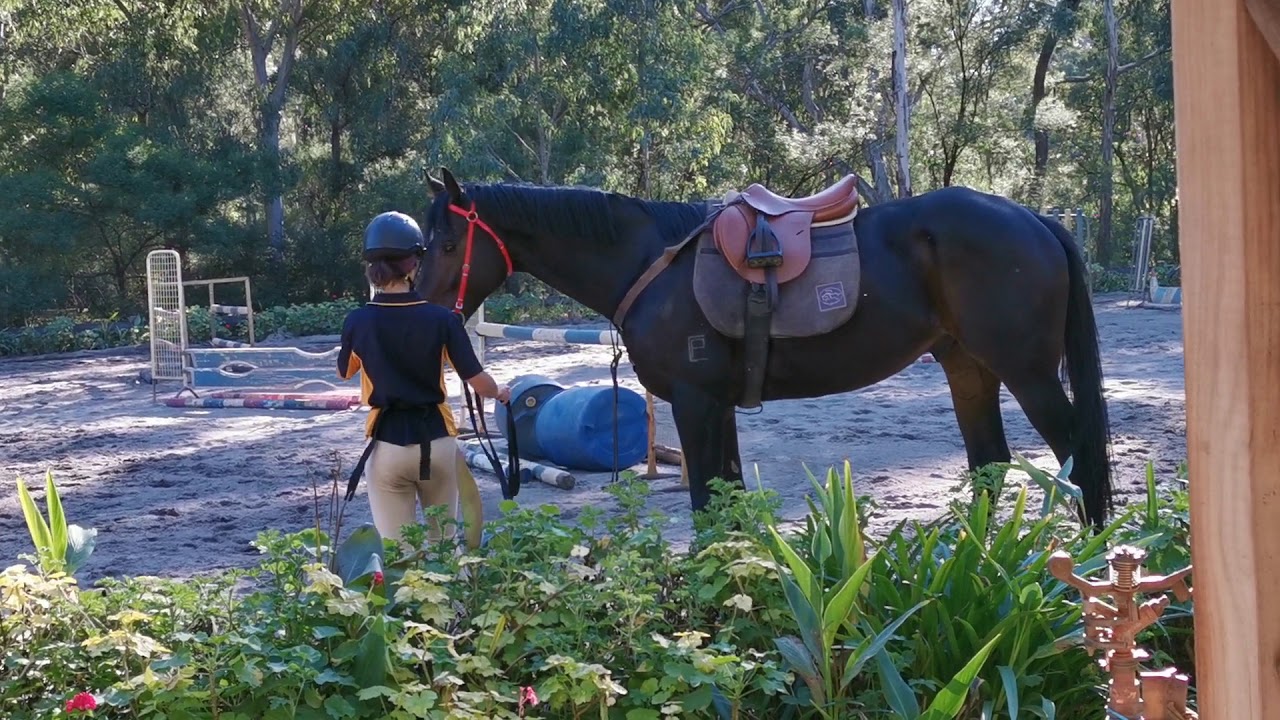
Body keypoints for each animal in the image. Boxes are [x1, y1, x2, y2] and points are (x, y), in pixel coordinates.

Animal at [411, 167, 1114, 529]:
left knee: (1078, 458)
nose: (420, 310)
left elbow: (705, 509)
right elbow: (726, 505)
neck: (652, 262)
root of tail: (1034, 220)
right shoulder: (716, 406)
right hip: (969, 369)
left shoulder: (695, 403)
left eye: (446, 244)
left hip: (1028, 372)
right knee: (990, 465)